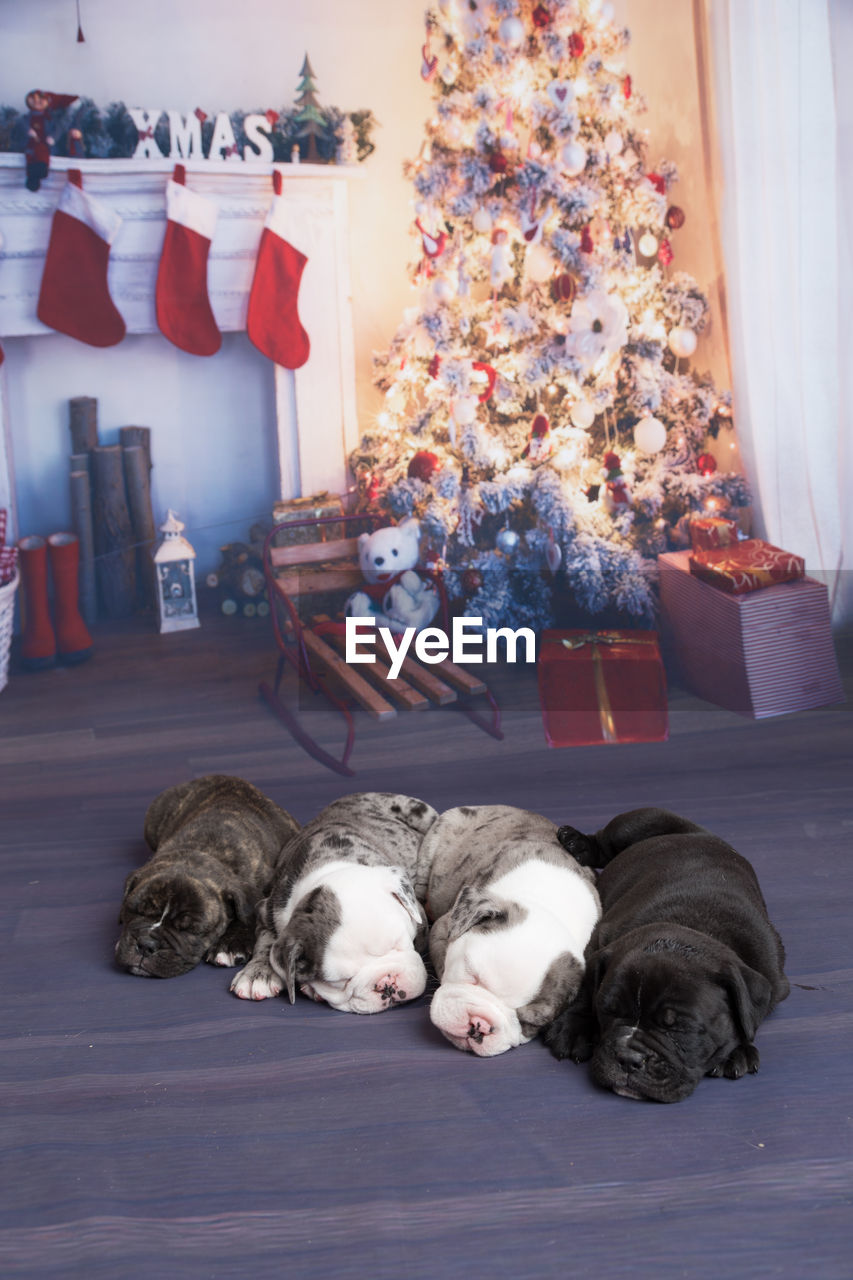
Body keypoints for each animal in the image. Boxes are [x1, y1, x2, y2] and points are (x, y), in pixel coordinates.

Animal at [229, 788, 435, 1008]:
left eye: (402, 943)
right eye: (342, 981)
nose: (387, 985)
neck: (328, 868)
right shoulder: (268, 908)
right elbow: (265, 941)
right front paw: (257, 972)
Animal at [540, 808, 788, 1100]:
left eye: (680, 1028)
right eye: (608, 1011)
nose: (628, 1058)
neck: (692, 927)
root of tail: (701, 833)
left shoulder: (774, 981)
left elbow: (749, 1017)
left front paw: (735, 1051)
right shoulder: (599, 941)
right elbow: (587, 986)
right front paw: (574, 1028)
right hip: (642, 819)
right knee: (604, 841)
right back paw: (576, 842)